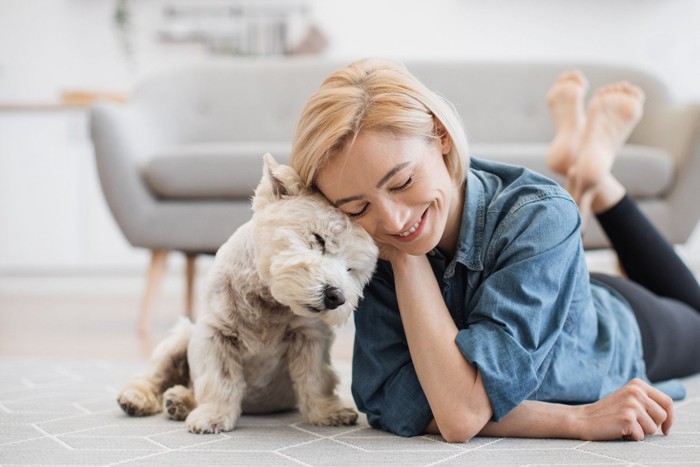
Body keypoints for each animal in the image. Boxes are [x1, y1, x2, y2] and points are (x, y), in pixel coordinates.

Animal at [117, 155, 378, 434]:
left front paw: (328, 412)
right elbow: (219, 379)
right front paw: (212, 416)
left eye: (351, 269)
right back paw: (139, 398)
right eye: (319, 239)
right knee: (155, 375)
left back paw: (179, 401)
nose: (336, 297)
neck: (270, 301)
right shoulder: (214, 334)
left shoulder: (311, 337)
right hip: (181, 338)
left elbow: (315, 377)